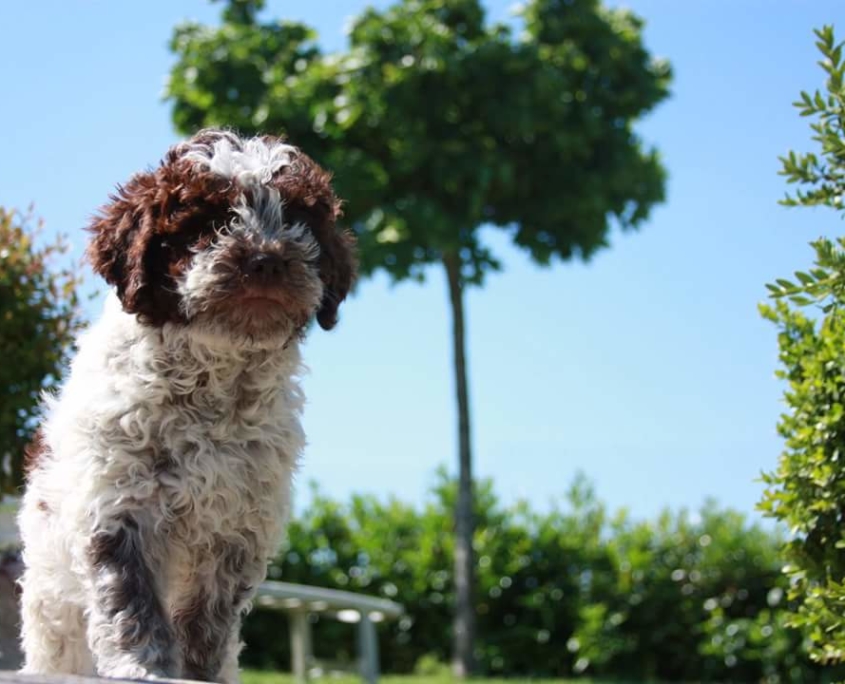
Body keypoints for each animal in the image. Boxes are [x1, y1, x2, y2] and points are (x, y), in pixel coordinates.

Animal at [19, 130, 356, 684]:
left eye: (297, 220)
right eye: (208, 222)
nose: (266, 260)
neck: (211, 383)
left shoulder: (238, 525)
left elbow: (209, 617)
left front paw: (201, 672)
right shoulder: (117, 505)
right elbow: (130, 602)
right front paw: (144, 667)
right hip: (51, 601)